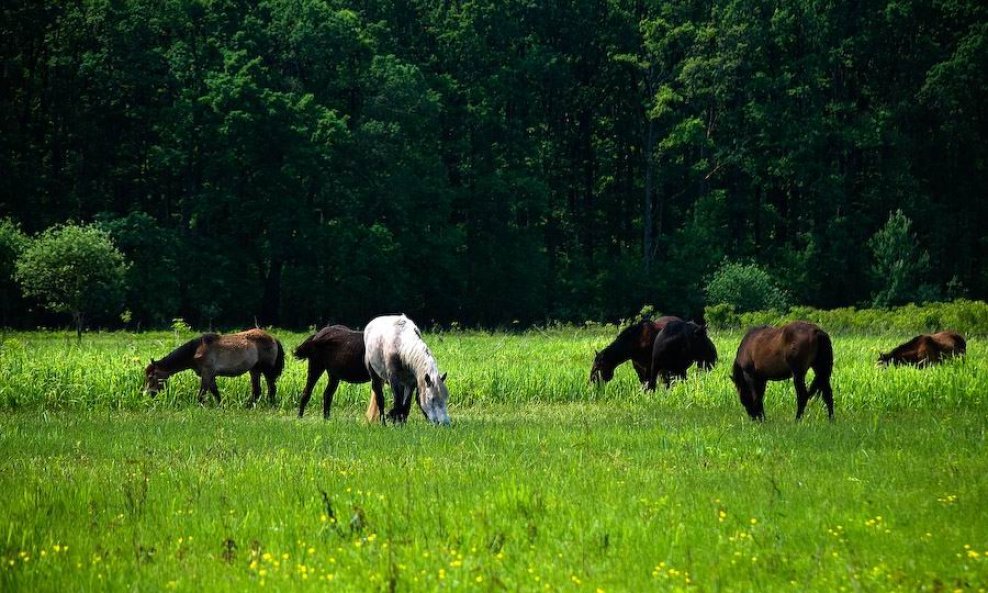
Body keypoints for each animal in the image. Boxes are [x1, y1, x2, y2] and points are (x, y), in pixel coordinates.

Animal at [143, 326, 284, 404]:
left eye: (150, 377)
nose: (149, 394)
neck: (197, 350)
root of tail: (273, 338)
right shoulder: (210, 375)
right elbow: (215, 392)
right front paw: (220, 405)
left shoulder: (207, 373)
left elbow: (202, 394)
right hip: (254, 370)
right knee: (256, 391)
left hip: (267, 370)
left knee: (271, 389)